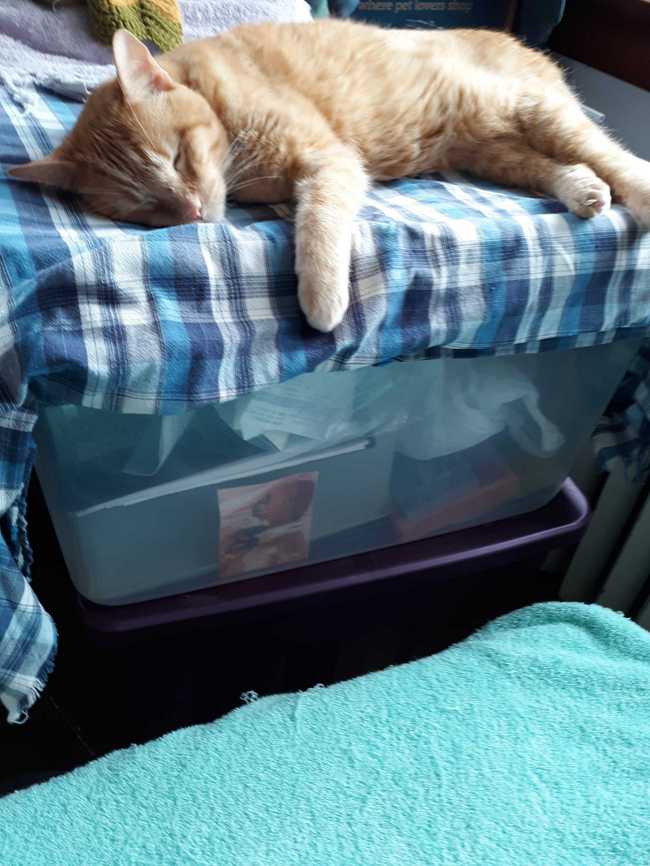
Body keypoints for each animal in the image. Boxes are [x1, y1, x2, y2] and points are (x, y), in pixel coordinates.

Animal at [10, 20, 650, 332]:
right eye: (144, 208)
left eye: (176, 159)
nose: (189, 212)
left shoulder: (328, 160)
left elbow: (318, 224)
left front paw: (320, 296)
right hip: (493, 149)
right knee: (561, 165)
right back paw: (584, 190)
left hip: (524, 108)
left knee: (614, 156)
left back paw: (632, 191)